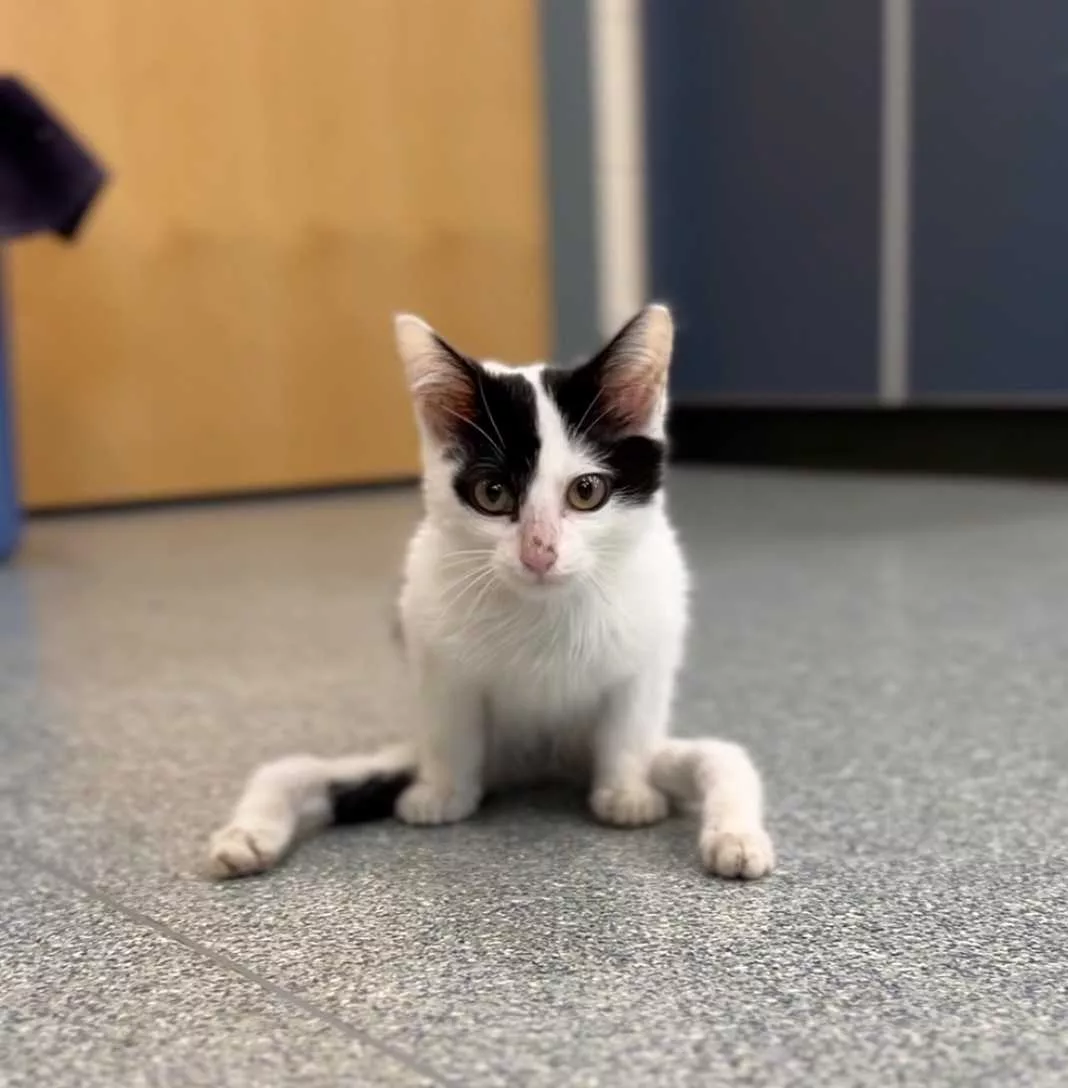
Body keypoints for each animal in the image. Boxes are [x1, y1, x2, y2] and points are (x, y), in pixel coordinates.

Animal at [206, 302, 778, 879]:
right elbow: (449, 719)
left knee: (724, 756)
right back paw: (247, 835)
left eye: (586, 491)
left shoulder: (652, 636)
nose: (539, 553)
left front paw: (627, 792)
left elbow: (631, 717)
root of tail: (541, 765)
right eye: (493, 493)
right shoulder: (431, 639)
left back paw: (736, 838)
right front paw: (443, 793)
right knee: (294, 767)